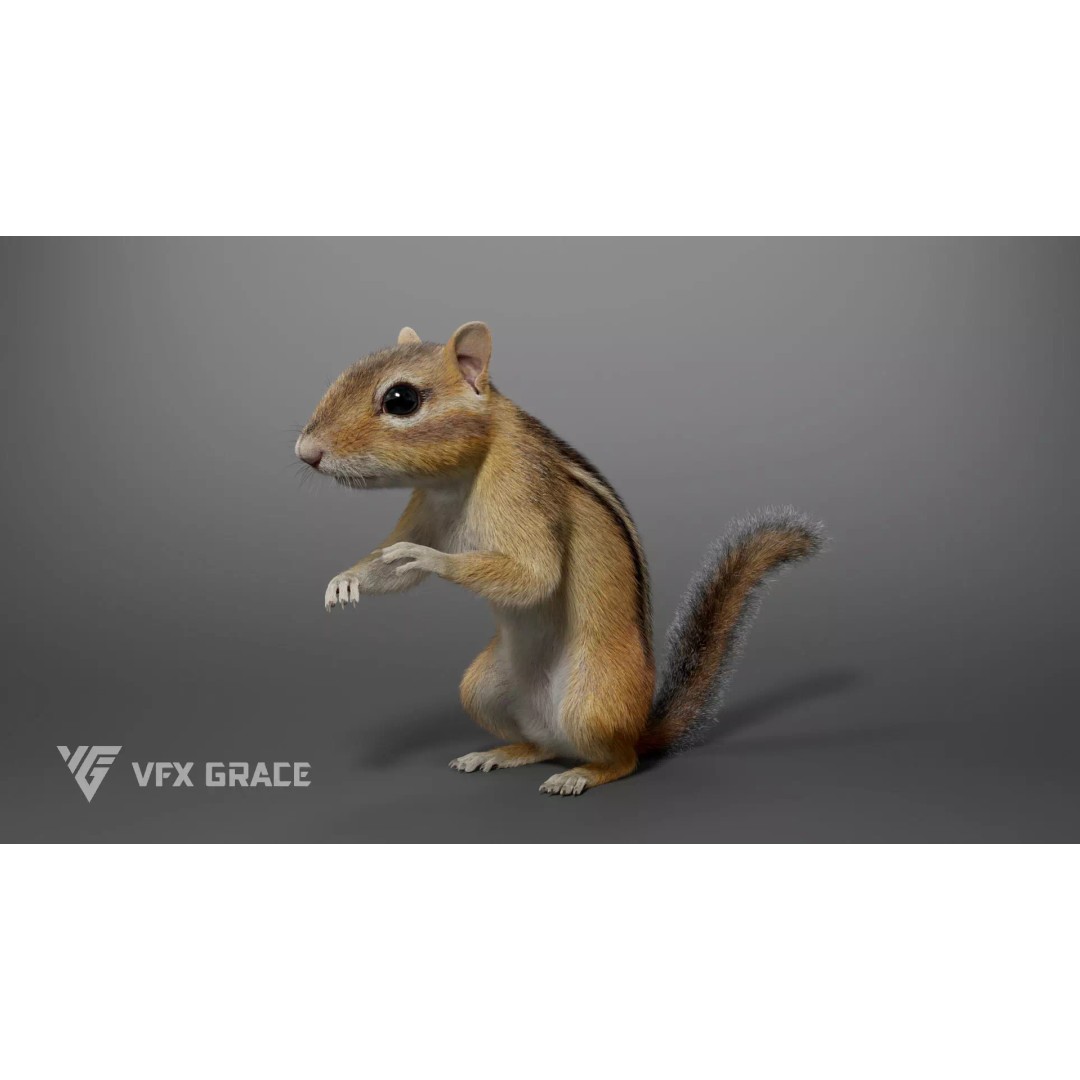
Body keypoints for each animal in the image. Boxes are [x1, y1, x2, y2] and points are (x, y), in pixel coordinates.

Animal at [296, 322, 824, 796]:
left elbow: (536, 576)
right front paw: (345, 579)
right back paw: (498, 753)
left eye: (401, 400)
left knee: (623, 761)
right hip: (479, 688)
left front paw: (426, 557)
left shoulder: (525, 488)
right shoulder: (426, 504)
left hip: (592, 697)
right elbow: (390, 566)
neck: (462, 476)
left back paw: (579, 775)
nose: (305, 452)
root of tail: (636, 727)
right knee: (539, 745)